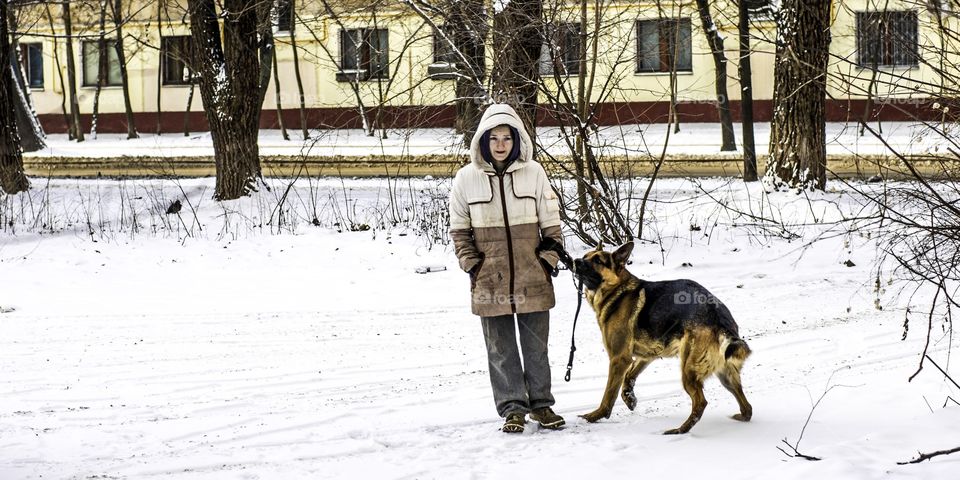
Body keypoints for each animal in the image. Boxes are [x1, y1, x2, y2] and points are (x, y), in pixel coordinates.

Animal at [572, 242, 752, 434]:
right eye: (585, 256)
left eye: (598, 260)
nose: (575, 261)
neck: (617, 289)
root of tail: (720, 318)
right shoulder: (646, 355)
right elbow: (630, 376)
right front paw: (629, 397)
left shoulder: (619, 358)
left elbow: (609, 394)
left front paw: (595, 415)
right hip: (726, 375)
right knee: (747, 407)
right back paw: (740, 416)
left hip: (689, 370)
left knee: (701, 403)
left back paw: (680, 430)